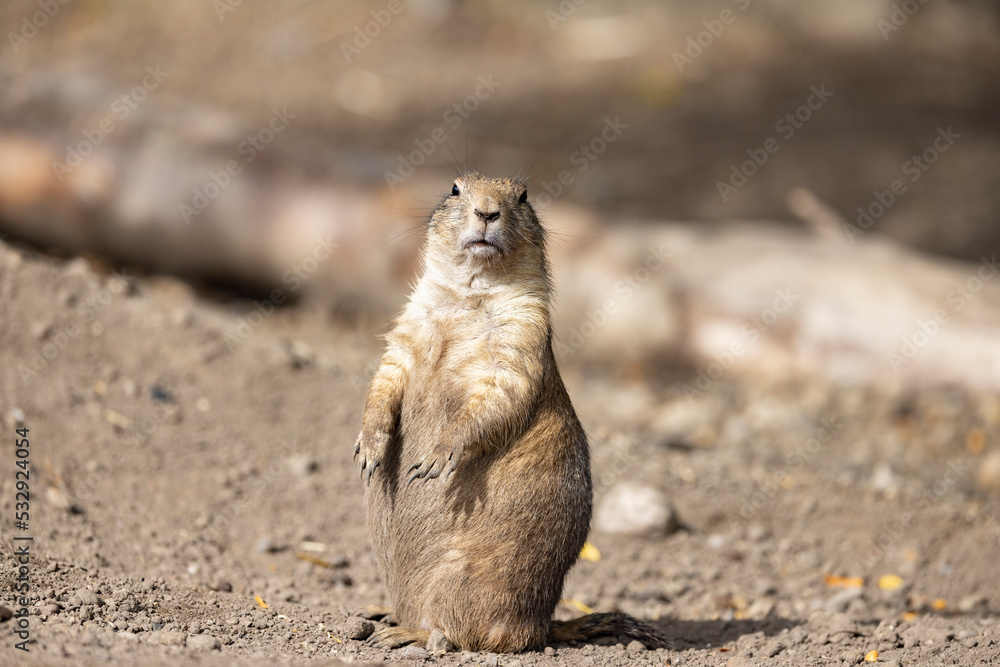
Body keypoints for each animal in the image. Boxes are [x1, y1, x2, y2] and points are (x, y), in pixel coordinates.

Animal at [355, 171, 669, 652]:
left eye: (522, 196)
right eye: (454, 188)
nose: (487, 211)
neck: (470, 293)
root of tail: (543, 622)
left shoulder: (521, 337)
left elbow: (498, 395)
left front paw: (435, 457)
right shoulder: (408, 326)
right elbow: (385, 378)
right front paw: (368, 449)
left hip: (463, 580)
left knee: (463, 634)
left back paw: (402, 632)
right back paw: (379, 612)